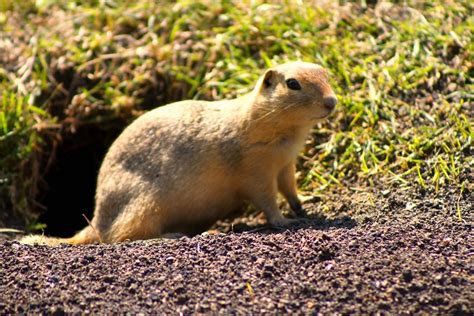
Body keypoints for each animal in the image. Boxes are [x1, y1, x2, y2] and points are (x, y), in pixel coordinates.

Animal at [22, 61, 336, 244]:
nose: (332, 102)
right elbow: (266, 198)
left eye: (326, 73)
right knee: (120, 236)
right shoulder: (255, 166)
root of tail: (97, 218)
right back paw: (173, 235)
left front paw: (304, 204)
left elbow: (289, 187)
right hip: (146, 202)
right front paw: (284, 221)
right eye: (292, 83)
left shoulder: (285, 163)